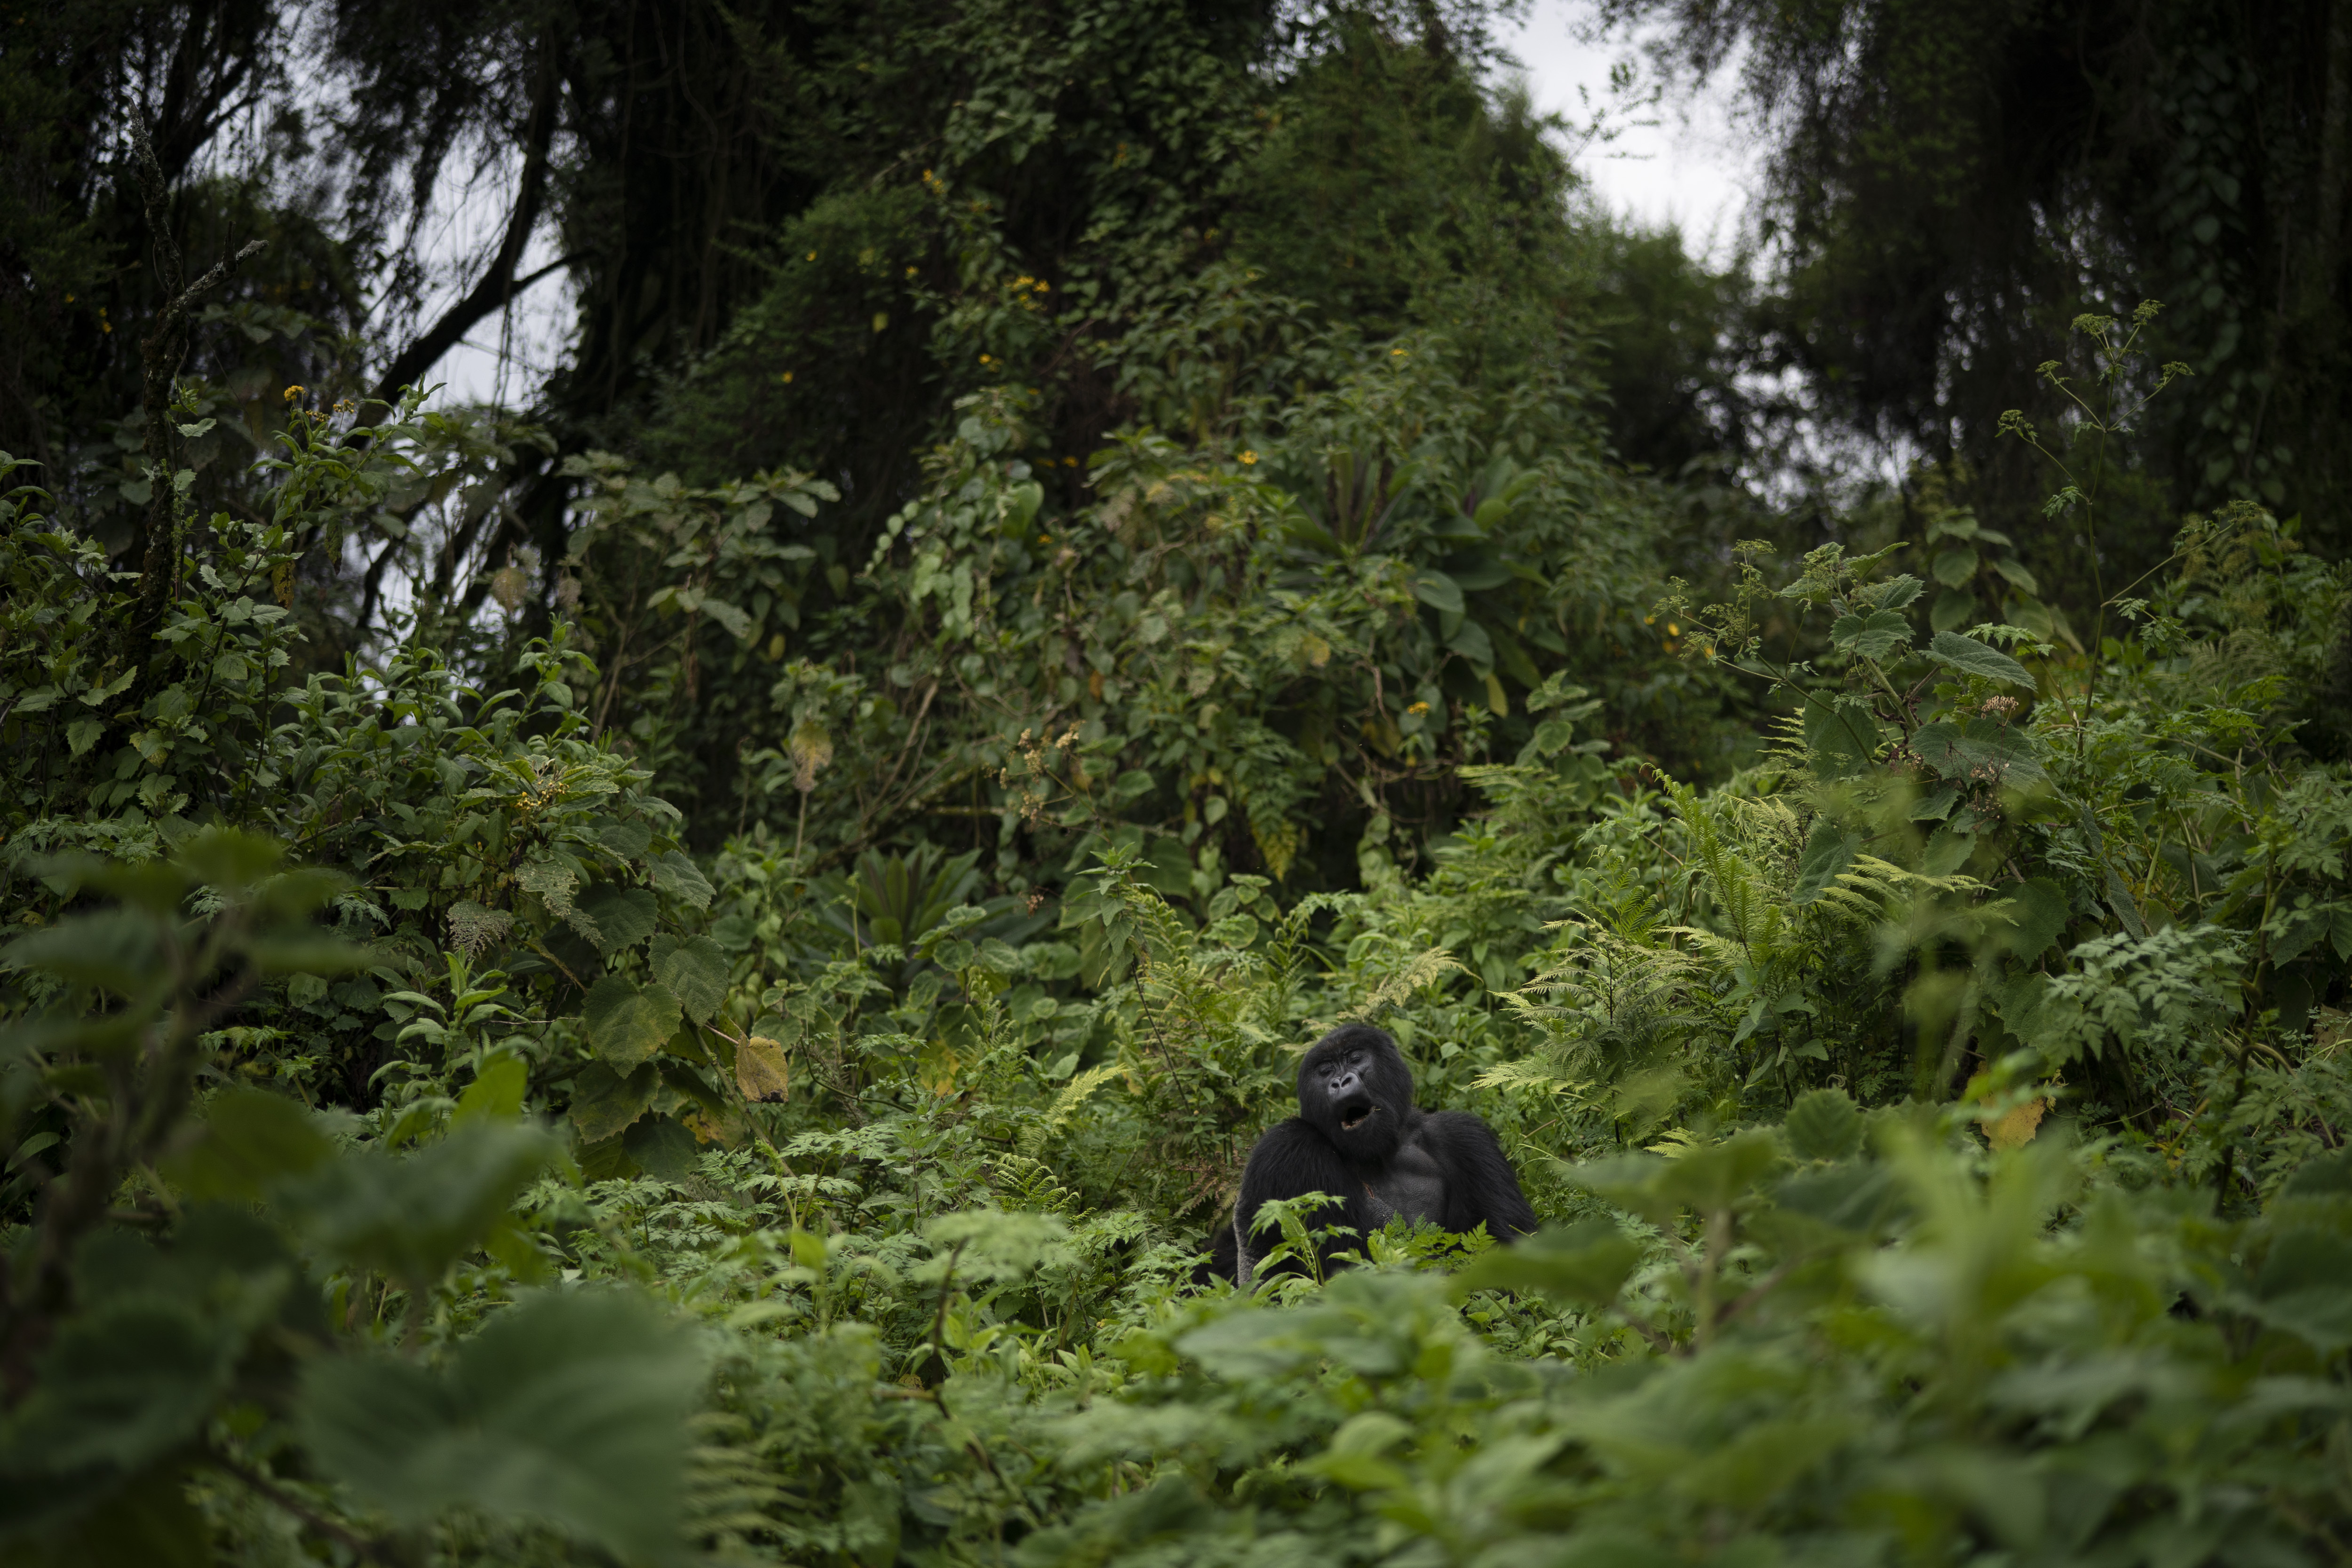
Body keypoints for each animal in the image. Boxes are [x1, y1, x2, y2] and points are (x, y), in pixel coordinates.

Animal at [1223, 1020, 1534, 1288]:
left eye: (1355, 1058)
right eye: (1325, 1071)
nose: (1340, 1082)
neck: (1382, 1152)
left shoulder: (1466, 1138)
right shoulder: (1287, 1147)